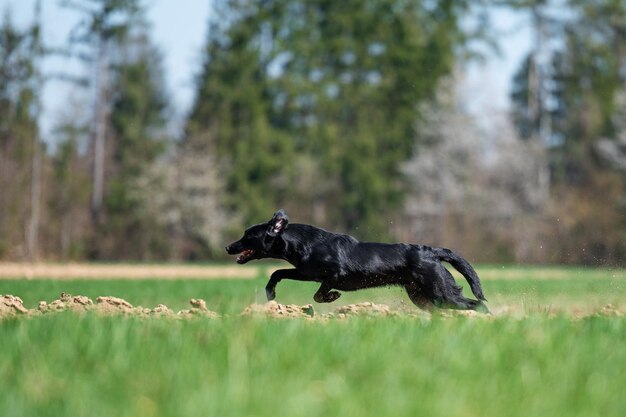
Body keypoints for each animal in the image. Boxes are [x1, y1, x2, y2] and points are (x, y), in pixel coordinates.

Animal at [225, 210, 488, 310]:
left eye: (248, 235)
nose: (228, 247)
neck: (305, 242)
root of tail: (431, 251)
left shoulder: (334, 274)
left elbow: (319, 294)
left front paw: (332, 297)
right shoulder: (306, 272)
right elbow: (277, 273)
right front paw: (270, 292)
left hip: (440, 292)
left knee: (477, 304)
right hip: (422, 296)